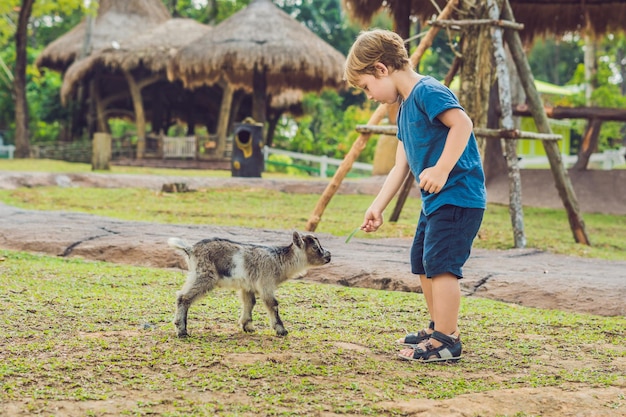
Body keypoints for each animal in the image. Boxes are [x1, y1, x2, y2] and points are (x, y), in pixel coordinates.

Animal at [166, 232, 332, 336]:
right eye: (315, 248)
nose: (329, 256)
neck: (279, 260)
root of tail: (191, 249)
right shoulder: (266, 283)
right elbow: (273, 304)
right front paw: (281, 330)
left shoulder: (248, 286)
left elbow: (249, 302)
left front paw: (248, 326)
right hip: (204, 276)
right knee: (184, 297)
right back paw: (182, 331)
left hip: (196, 274)